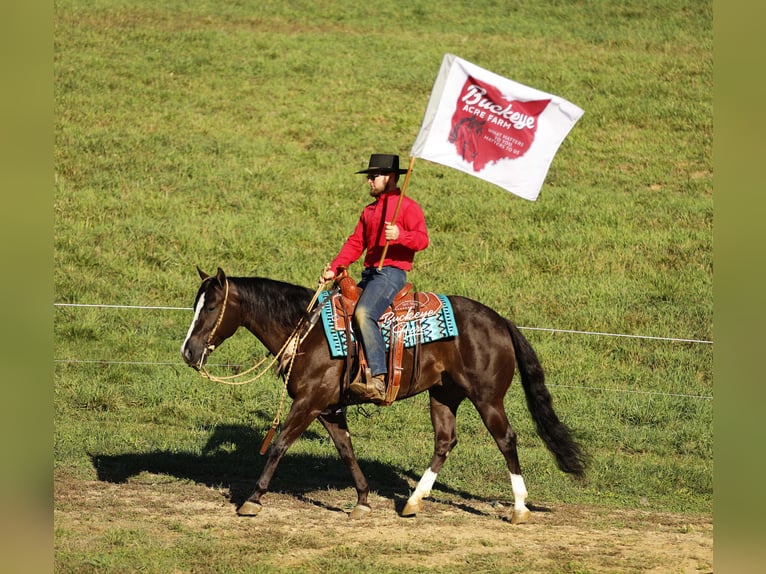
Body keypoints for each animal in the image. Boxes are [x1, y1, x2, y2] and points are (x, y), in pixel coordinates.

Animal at [180, 267, 585, 523]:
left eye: (211, 306)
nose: (188, 351)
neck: (308, 331)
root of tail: (501, 321)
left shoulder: (308, 403)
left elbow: (279, 445)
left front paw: (252, 499)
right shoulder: (328, 409)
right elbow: (346, 450)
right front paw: (362, 500)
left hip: (488, 399)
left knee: (506, 440)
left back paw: (518, 509)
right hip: (444, 395)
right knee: (445, 442)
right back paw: (413, 502)